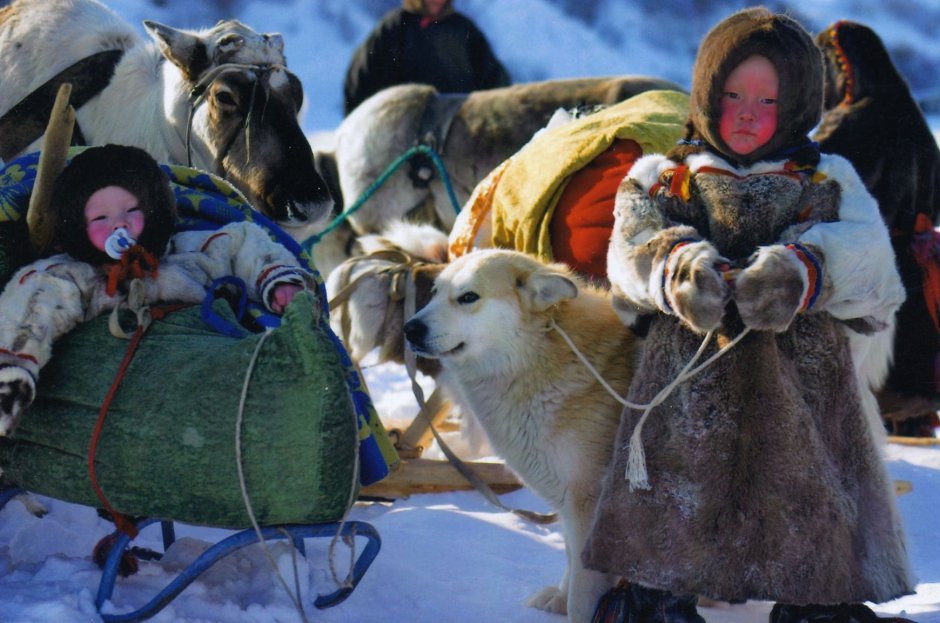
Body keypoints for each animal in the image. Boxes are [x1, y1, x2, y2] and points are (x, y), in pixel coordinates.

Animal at [400, 250, 636, 623]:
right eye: (435, 293)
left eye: (468, 297)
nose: (409, 329)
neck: (540, 357)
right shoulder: (570, 503)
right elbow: (569, 558)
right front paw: (559, 598)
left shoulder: (588, 504)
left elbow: (583, 592)